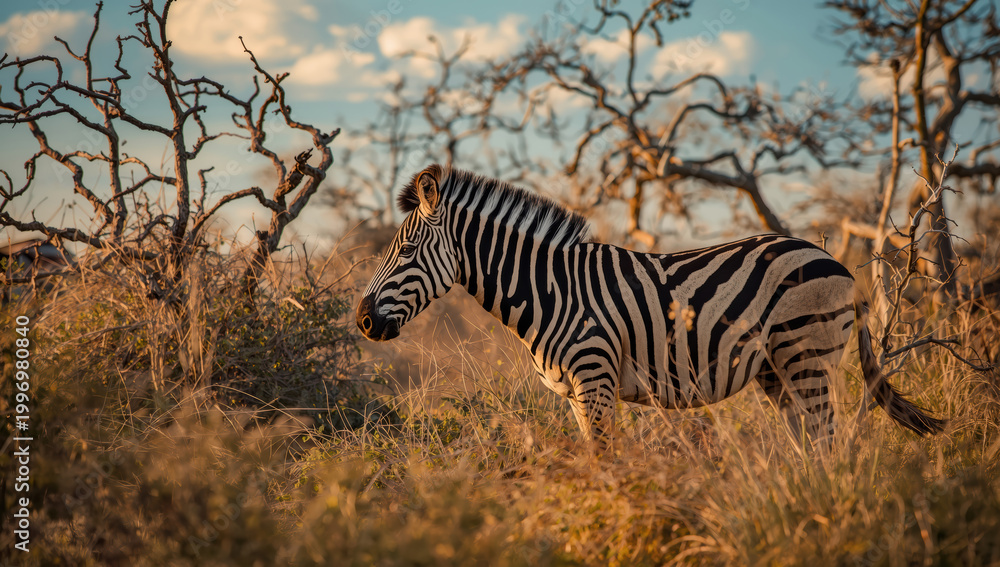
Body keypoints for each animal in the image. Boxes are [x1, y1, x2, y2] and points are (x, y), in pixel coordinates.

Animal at [356, 164, 945, 449]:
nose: (362, 320)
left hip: (806, 354)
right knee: (810, 443)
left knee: (828, 442)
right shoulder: (575, 395)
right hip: (777, 371)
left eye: (405, 252)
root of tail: (838, 264)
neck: (549, 290)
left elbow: (604, 462)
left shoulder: (594, 379)